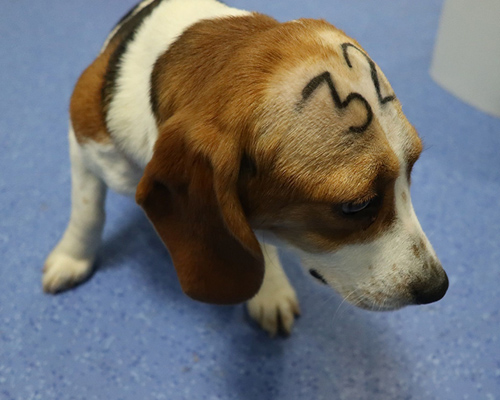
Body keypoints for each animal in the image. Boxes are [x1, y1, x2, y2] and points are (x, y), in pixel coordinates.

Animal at [44, 0, 450, 336]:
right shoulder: (81, 139)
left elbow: (256, 241)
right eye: (356, 206)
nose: (439, 287)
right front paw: (72, 257)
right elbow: (88, 211)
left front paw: (268, 289)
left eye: (412, 170)